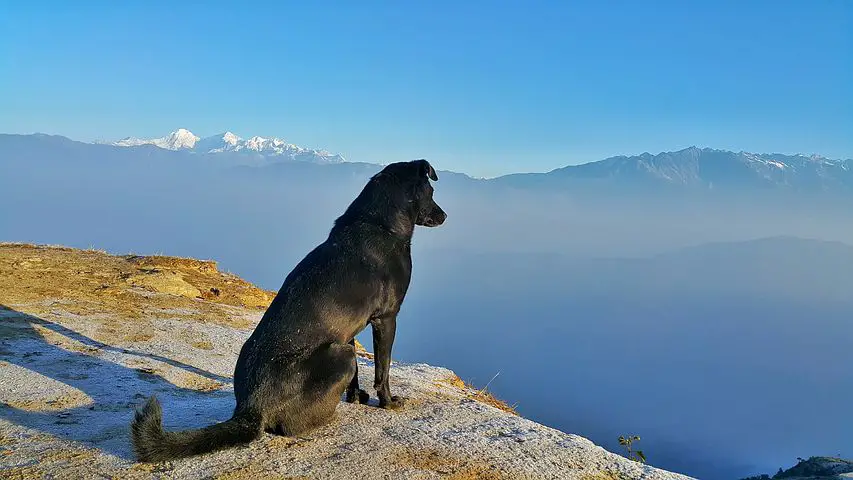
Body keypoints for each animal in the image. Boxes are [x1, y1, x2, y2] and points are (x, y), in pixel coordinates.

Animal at [130, 159, 446, 464]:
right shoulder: (386, 318)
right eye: (432, 191)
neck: (380, 223)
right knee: (291, 426)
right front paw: (388, 402)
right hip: (341, 354)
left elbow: (360, 374)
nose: (444, 216)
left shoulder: (350, 330)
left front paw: (356, 396)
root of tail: (251, 407)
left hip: (339, 347)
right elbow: (384, 369)